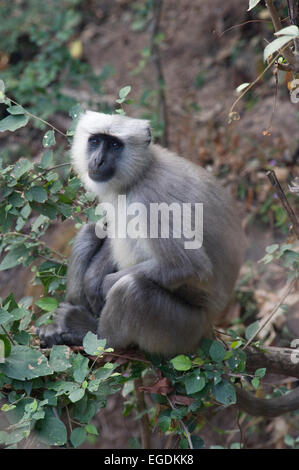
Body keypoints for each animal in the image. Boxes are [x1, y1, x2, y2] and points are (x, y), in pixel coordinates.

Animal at [37, 112, 246, 356]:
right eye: (95, 141)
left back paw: (91, 333)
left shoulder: (152, 199)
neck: (142, 173)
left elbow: (190, 266)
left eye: (115, 145)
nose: (98, 160)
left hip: (182, 333)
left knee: (132, 289)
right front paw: (93, 280)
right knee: (88, 234)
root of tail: (209, 326)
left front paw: (104, 284)